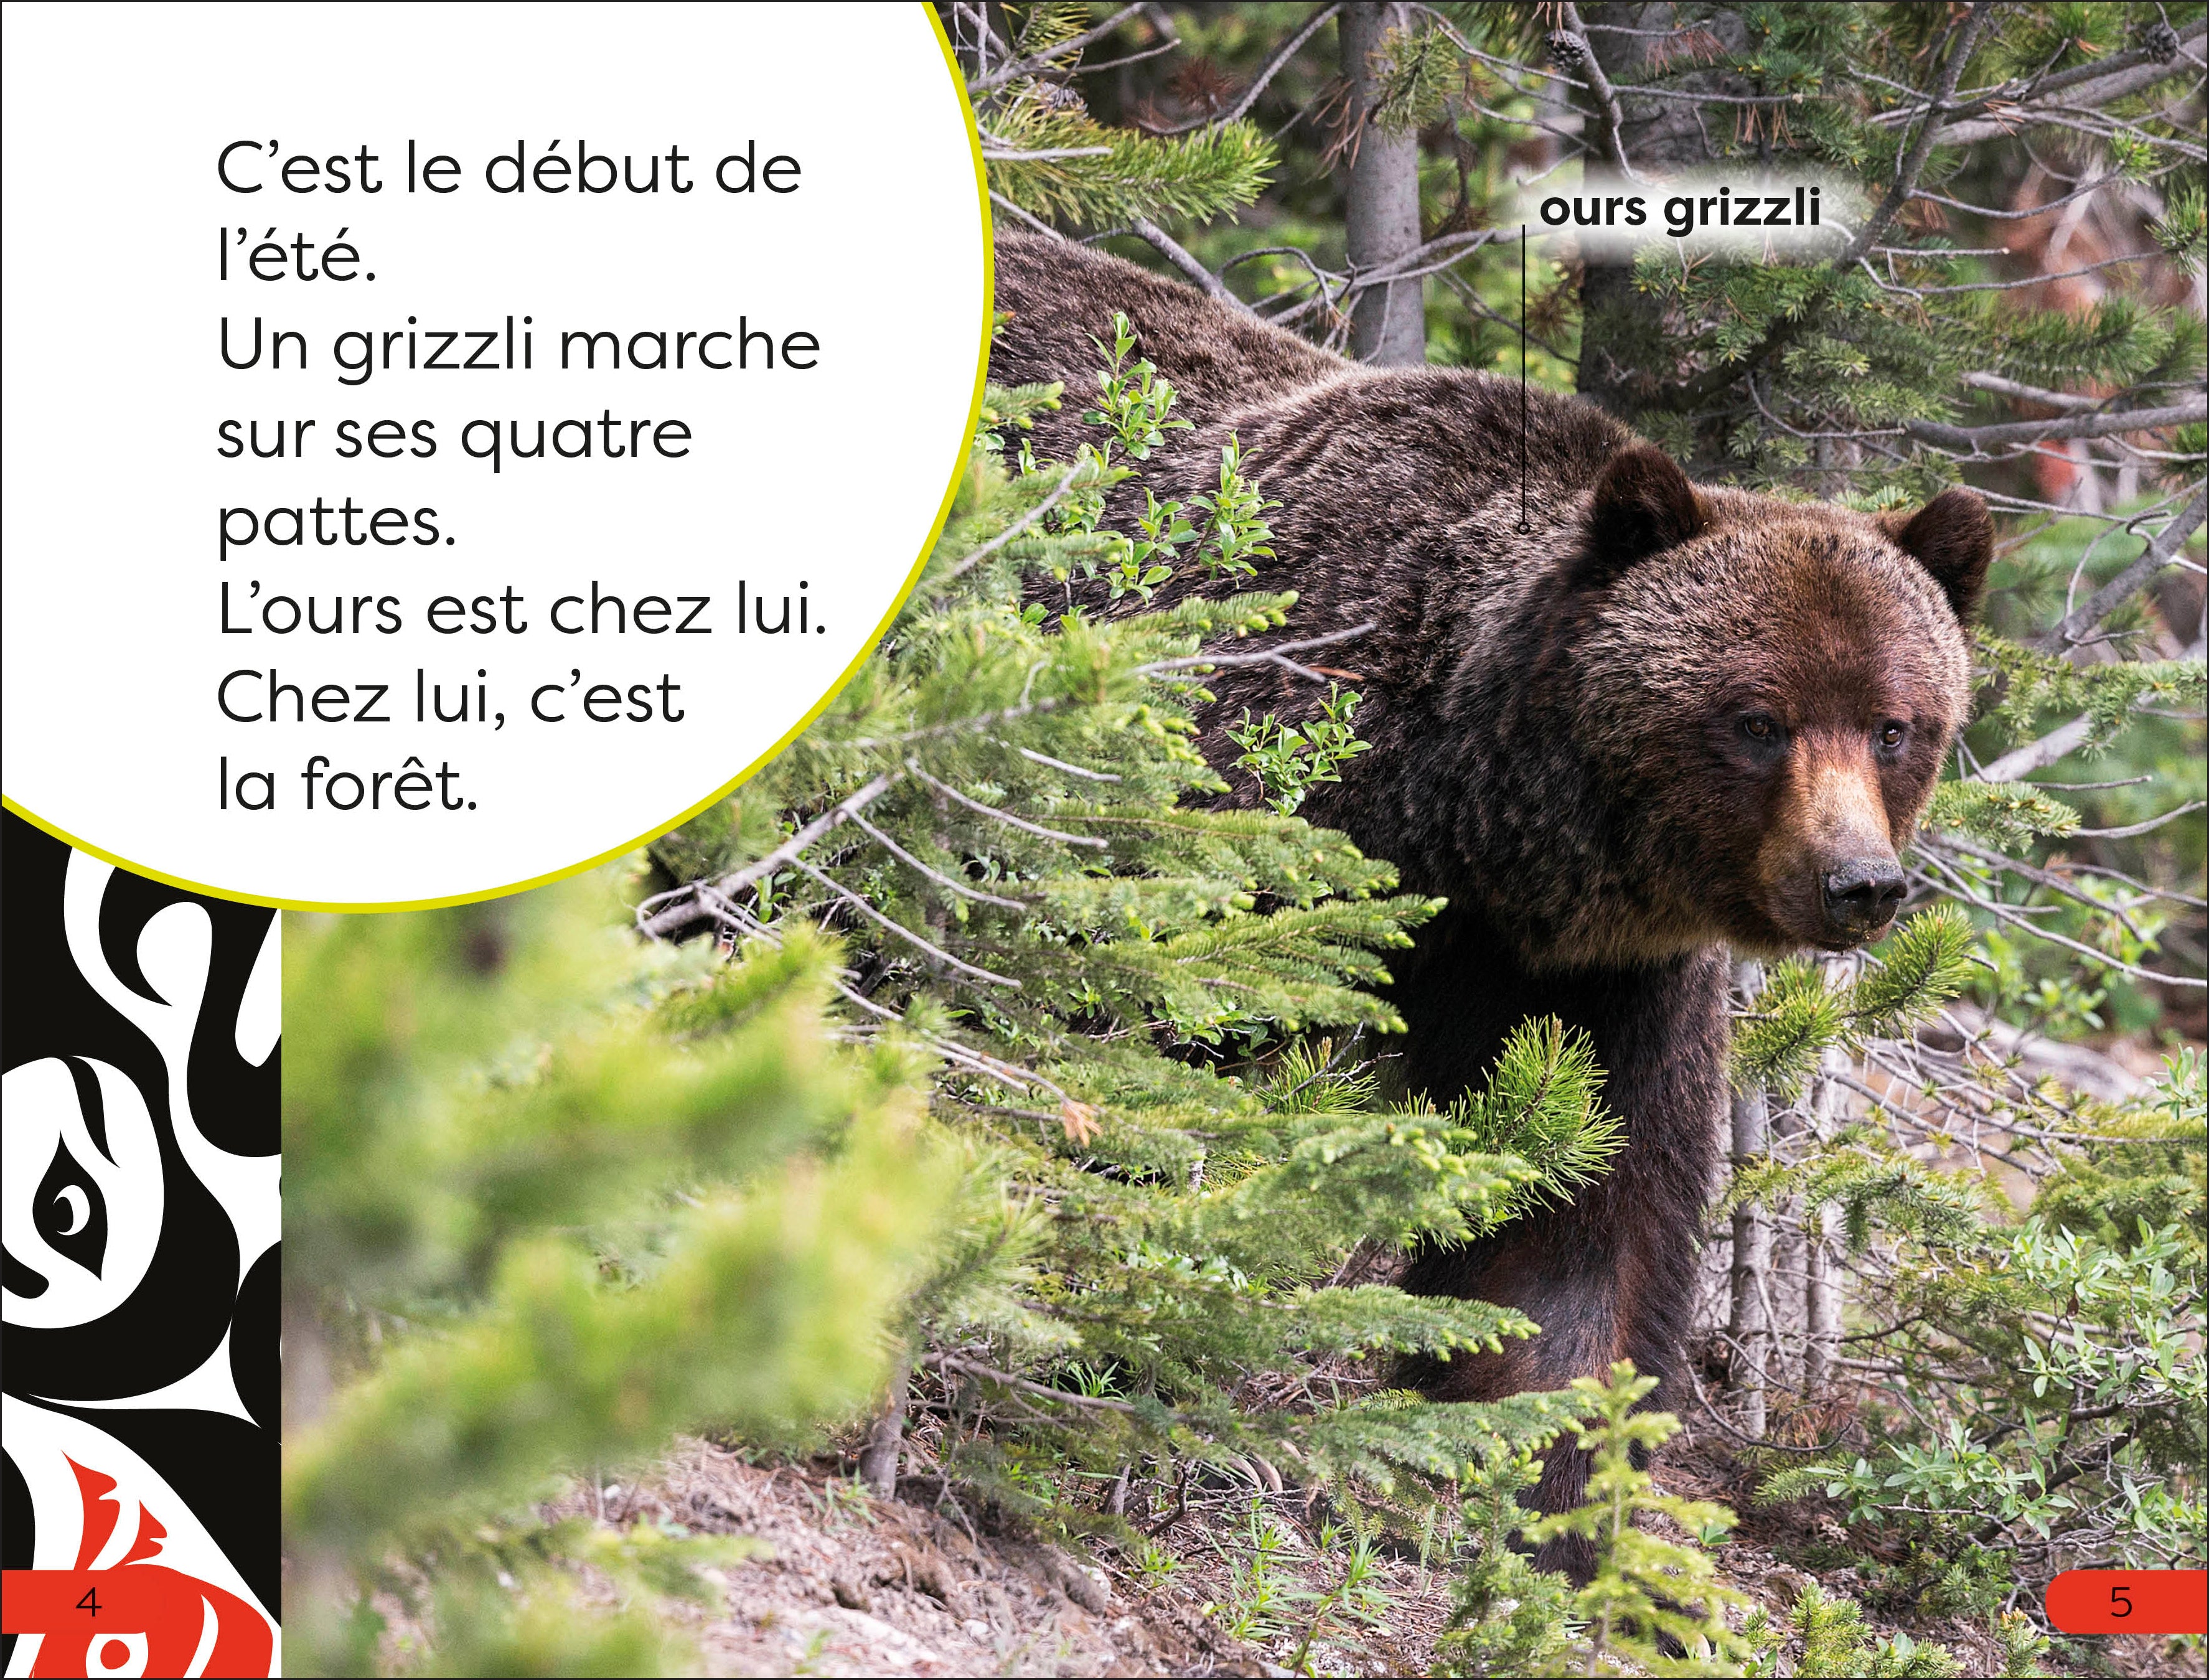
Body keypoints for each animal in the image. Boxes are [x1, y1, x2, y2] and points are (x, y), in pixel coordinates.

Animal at [988, 230, 1992, 1574]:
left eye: (1894, 723)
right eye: (1754, 718)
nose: (1857, 882)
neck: (1461, 814)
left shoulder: (1587, 979)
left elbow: (1576, 1225)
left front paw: (1560, 1497)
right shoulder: (1259, 793)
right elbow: (1142, 1042)